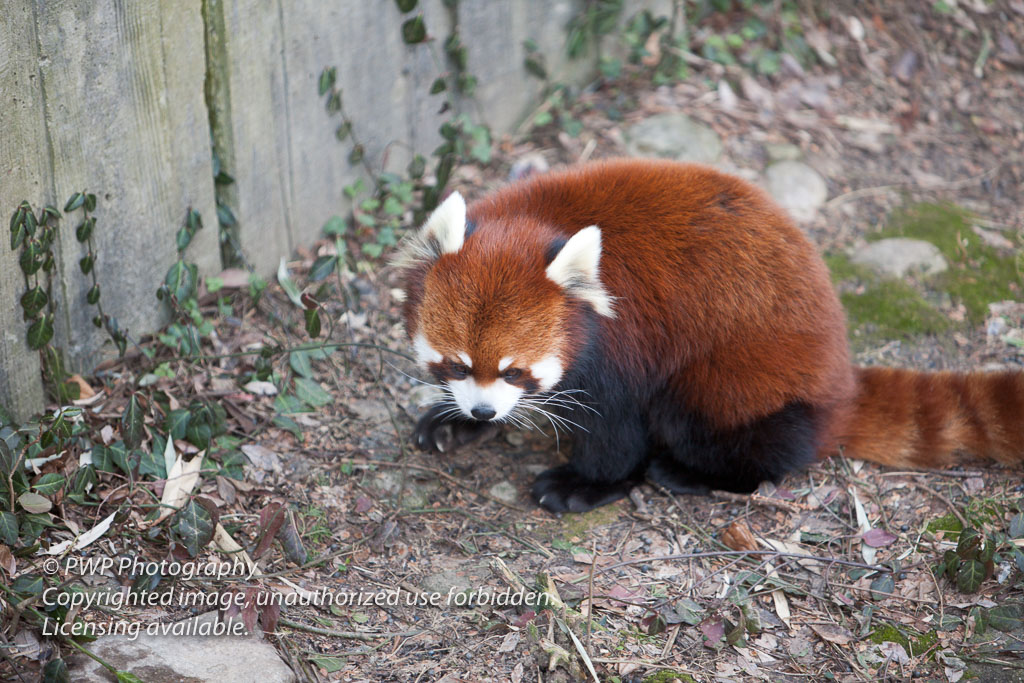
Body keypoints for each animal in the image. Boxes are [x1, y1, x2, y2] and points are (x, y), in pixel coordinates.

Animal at [391, 160, 1024, 511]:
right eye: (457, 365)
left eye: (516, 370)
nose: (481, 412)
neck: (535, 221)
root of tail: (841, 382)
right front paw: (450, 421)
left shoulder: (626, 346)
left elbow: (616, 430)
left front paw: (584, 484)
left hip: (732, 381)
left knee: (731, 436)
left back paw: (689, 471)